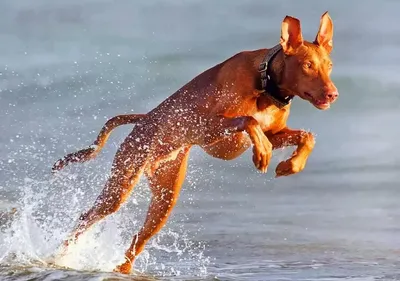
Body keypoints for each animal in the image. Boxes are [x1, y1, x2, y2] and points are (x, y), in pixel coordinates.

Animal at [53, 12, 340, 272]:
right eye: (308, 65)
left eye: (329, 66)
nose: (333, 94)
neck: (266, 83)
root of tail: (144, 119)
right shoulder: (205, 129)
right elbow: (249, 121)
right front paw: (263, 153)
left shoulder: (274, 132)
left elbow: (307, 136)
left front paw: (291, 165)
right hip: (121, 184)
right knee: (86, 218)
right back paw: (60, 256)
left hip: (165, 199)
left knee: (136, 241)